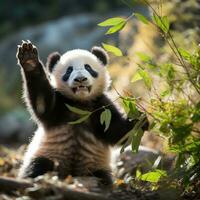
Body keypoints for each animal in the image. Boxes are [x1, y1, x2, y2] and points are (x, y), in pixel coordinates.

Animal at [16, 40, 148, 186]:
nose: (80, 79)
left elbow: (116, 131)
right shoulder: (61, 104)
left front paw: (140, 120)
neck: (80, 102)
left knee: (102, 177)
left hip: (95, 165)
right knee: (38, 166)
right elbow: (42, 103)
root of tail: (70, 174)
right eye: (69, 70)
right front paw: (29, 59)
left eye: (88, 68)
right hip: (48, 153)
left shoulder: (101, 106)